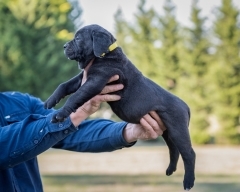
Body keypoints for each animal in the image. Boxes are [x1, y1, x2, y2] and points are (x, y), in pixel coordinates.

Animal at [44, 24, 195, 190]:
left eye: (78, 38)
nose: (64, 46)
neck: (105, 54)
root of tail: (186, 107)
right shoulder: (82, 78)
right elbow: (64, 85)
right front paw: (50, 101)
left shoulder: (96, 80)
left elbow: (76, 96)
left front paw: (60, 114)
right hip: (168, 131)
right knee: (174, 149)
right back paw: (170, 169)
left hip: (178, 129)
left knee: (189, 153)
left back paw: (188, 182)